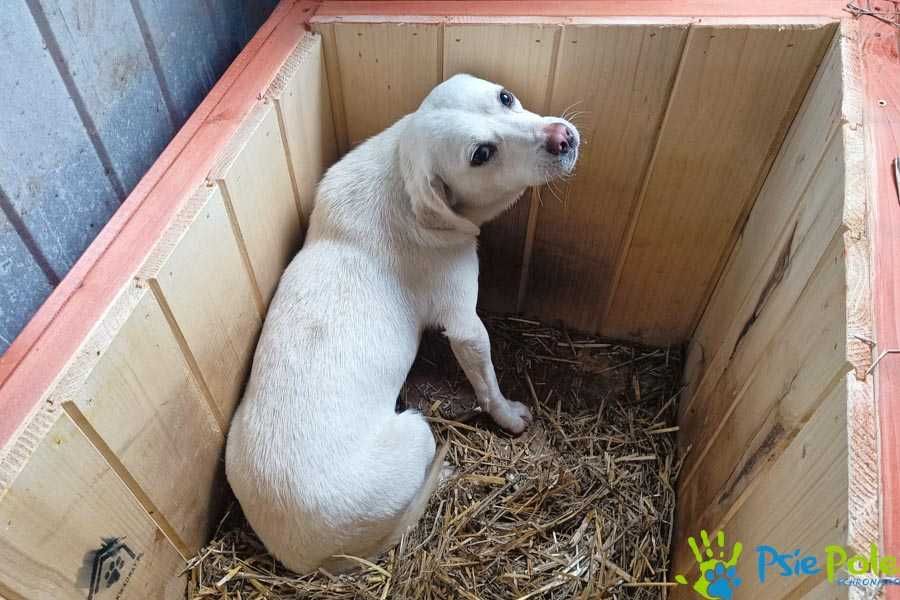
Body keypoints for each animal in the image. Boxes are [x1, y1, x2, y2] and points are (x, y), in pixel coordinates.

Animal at [223, 74, 576, 572]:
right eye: (481, 155)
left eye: (505, 97)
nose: (562, 137)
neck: (398, 179)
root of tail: (299, 558)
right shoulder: (465, 326)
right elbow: (488, 385)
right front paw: (509, 416)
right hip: (416, 430)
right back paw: (444, 472)